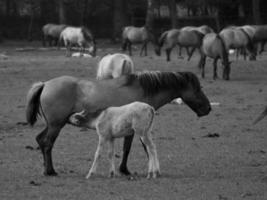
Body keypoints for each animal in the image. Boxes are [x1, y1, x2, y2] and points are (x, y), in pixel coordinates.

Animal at [26, 71, 213, 176]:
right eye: (197, 89)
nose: (208, 108)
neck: (142, 90)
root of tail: (45, 84)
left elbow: (129, 149)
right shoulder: (134, 130)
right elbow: (131, 149)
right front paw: (127, 169)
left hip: (53, 125)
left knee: (40, 140)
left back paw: (46, 169)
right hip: (56, 126)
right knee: (47, 143)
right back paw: (50, 171)